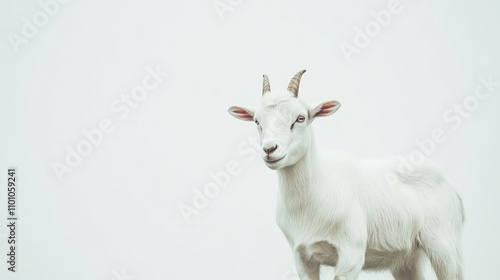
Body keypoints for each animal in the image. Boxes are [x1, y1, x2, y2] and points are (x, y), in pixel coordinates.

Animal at [229, 70, 464, 280]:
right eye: (257, 121)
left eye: (300, 117)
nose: (270, 149)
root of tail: (451, 187)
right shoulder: (302, 256)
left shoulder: (351, 253)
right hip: (406, 259)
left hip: (443, 245)